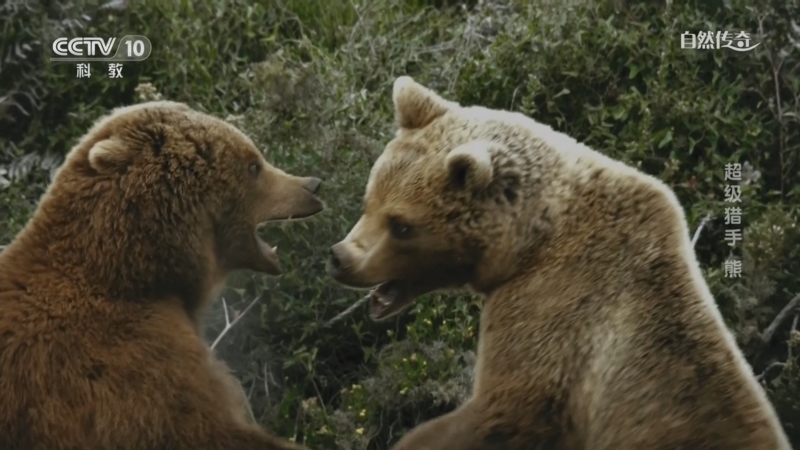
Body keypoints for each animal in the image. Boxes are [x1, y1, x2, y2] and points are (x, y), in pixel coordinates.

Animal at [327, 76, 792, 450]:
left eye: (402, 225)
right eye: (370, 200)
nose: (340, 258)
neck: (532, 242)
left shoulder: (556, 309)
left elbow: (507, 407)